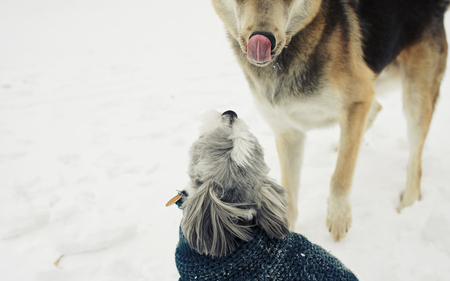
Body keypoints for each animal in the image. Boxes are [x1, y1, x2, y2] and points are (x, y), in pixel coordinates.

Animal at [212, 0, 450, 241]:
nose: (263, 38)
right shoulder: (287, 129)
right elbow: (289, 192)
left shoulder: (357, 100)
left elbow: (342, 172)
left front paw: (339, 216)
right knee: (376, 108)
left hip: (415, 96)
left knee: (414, 161)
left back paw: (408, 203)